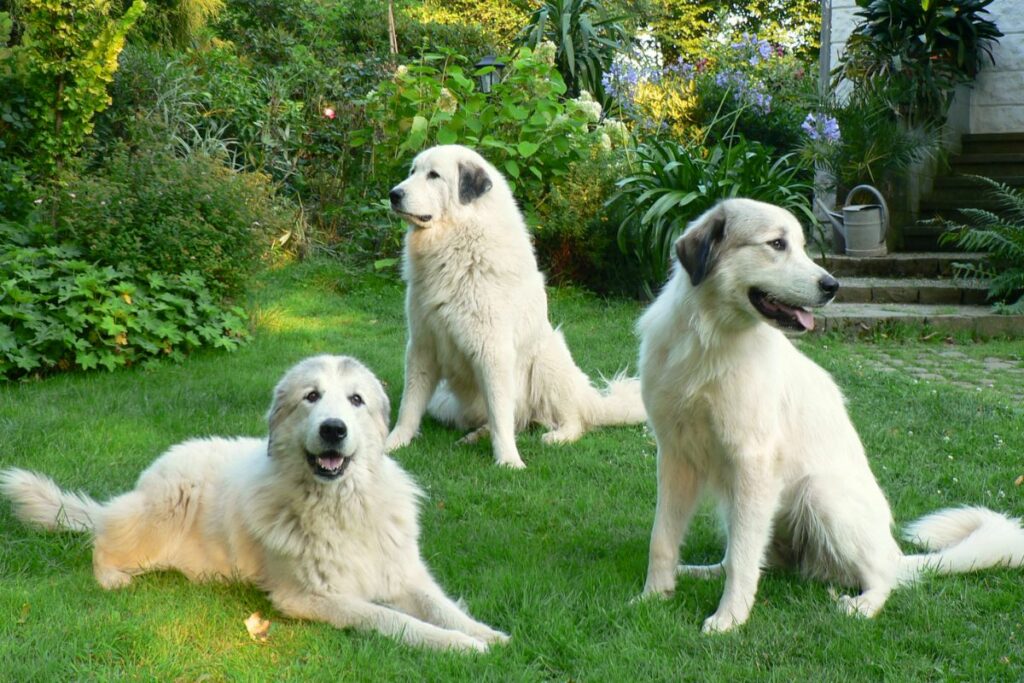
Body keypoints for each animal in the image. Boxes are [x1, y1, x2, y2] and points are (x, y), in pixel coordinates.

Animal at [1, 358, 507, 651]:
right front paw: (458, 646)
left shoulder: (403, 574)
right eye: (311, 397)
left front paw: (487, 635)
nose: (334, 429)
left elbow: (441, 607)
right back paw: (111, 577)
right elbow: (391, 619)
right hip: (156, 518)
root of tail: (152, 472)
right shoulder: (312, 598)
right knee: (102, 540)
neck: (340, 507)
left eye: (356, 400)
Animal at [385, 143, 638, 464]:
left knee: (572, 420)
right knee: (511, 421)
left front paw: (508, 461)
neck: (456, 243)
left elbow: (500, 413)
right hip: (443, 399)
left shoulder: (493, 352)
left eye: (433, 175)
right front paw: (392, 444)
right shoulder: (422, 346)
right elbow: (410, 405)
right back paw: (474, 436)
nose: (393, 194)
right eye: (412, 171)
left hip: (548, 360)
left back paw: (556, 436)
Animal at [634, 200, 1019, 634]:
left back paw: (862, 606)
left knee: (883, 577)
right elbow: (664, 540)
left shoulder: (752, 462)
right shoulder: (675, 457)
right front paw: (653, 596)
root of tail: (894, 552)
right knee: (758, 558)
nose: (833, 286)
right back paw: (700, 572)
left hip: (817, 492)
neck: (708, 341)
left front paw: (729, 619)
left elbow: (742, 558)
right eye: (777, 244)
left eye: (802, 246)